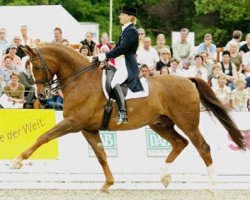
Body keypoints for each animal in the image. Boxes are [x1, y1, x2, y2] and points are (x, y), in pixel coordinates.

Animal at [11, 44, 244, 192]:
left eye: (37, 66)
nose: (41, 95)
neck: (80, 79)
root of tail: (188, 79)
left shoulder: (73, 122)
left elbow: (44, 136)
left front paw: (17, 161)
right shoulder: (88, 128)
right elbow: (101, 155)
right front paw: (107, 184)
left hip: (187, 122)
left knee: (202, 147)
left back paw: (211, 186)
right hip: (160, 124)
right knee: (180, 143)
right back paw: (164, 176)